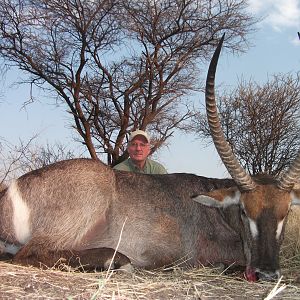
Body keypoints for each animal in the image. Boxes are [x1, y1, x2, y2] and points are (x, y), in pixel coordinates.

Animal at [0, 35, 298, 282]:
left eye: (285, 213)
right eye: (244, 211)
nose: (267, 273)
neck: (220, 212)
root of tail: (10, 191)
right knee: (29, 254)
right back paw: (119, 261)